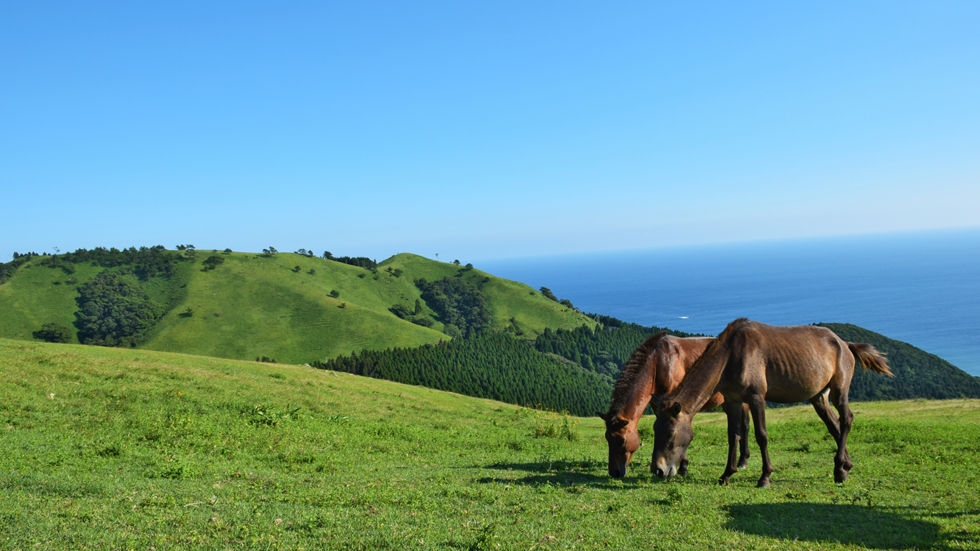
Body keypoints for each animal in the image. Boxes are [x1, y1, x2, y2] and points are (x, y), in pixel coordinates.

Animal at [596, 332, 752, 478]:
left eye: (621, 441)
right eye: (607, 438)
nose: (614, 472)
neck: (658, 362)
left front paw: (683, 467)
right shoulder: (658, 404)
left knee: (744, 425)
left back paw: (743, 461)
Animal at [656, 320, 892, 488]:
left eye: (670, 434)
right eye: (656, 430)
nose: (657, 470)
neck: (731, 354)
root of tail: (845, 344)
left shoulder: (756, 396)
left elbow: (761, 435)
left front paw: (764, 477)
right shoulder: (733, 400)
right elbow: (733, 436)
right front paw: (727, 474)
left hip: (839, 389)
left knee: (846, 419)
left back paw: (839, 469)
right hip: (819, 396)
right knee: (834, 425)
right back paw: (844, 466)